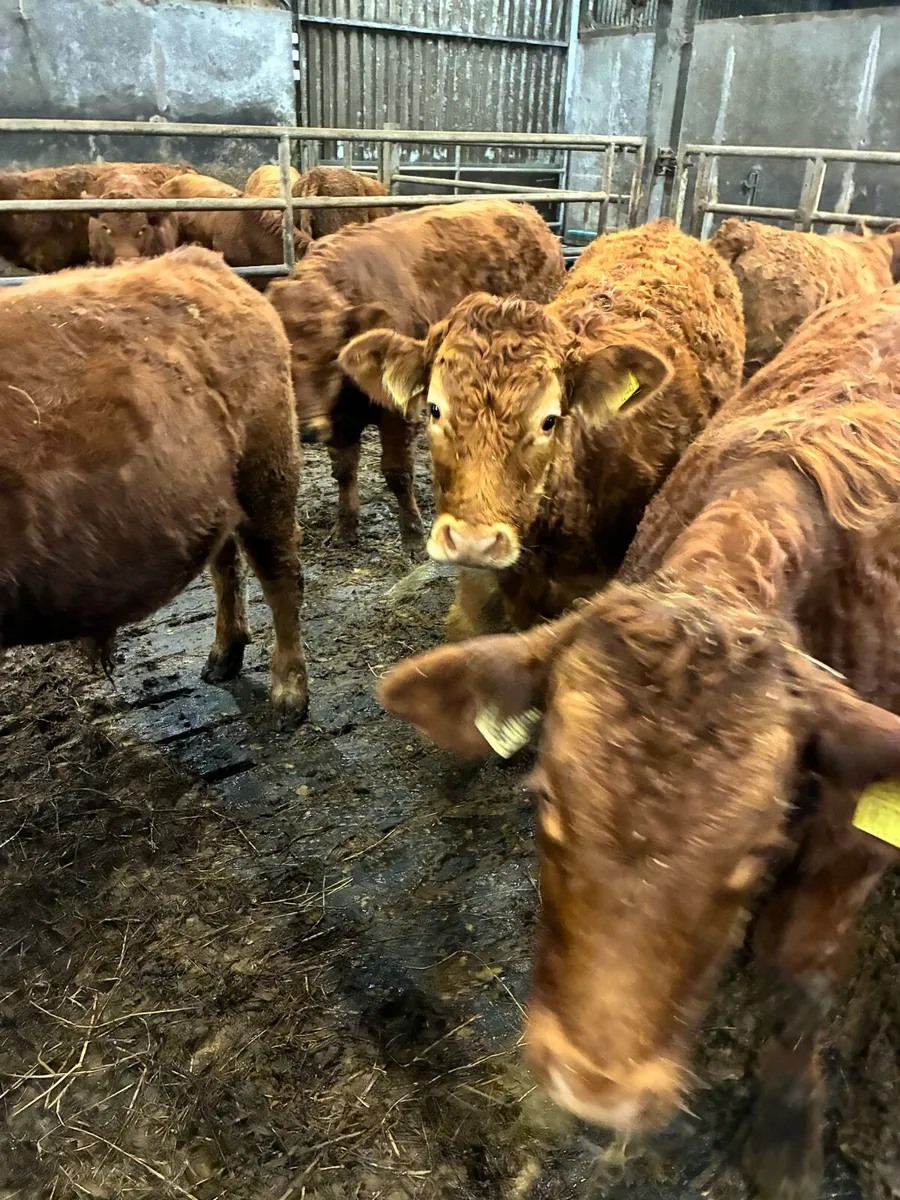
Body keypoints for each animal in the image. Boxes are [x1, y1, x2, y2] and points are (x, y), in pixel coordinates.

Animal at [0, 246, 307, 720]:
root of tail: (195, 259)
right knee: (226, 563)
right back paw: (224, 655)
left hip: (267, 476)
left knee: (280, 574)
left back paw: (289, 693)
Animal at [267, 199, 565, 552]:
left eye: (331, 355)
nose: (307, 430)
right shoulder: (340, 420)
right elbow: (343, 470)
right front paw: (345, 528)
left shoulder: (399, 410)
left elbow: (397, 472)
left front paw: (411, 534)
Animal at [376, 284, 900, 1200]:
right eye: (546, 805)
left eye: (756, 854)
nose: (595, 1087)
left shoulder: (854, 840)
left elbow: (801, 979)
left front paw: (784, 1142)